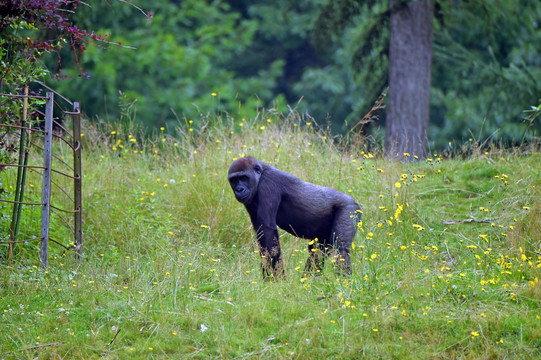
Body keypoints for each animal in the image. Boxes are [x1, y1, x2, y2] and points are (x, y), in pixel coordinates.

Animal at [226, 155, 360, 278]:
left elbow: (267, 233)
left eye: (244, 177)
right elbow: (261, 234)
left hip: (350, 209)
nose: (239, 189)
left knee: (340, 250)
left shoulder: (267, 184)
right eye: (234, 180)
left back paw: (343, 283)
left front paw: (275, 279)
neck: (260, 175)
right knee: (316, 251)